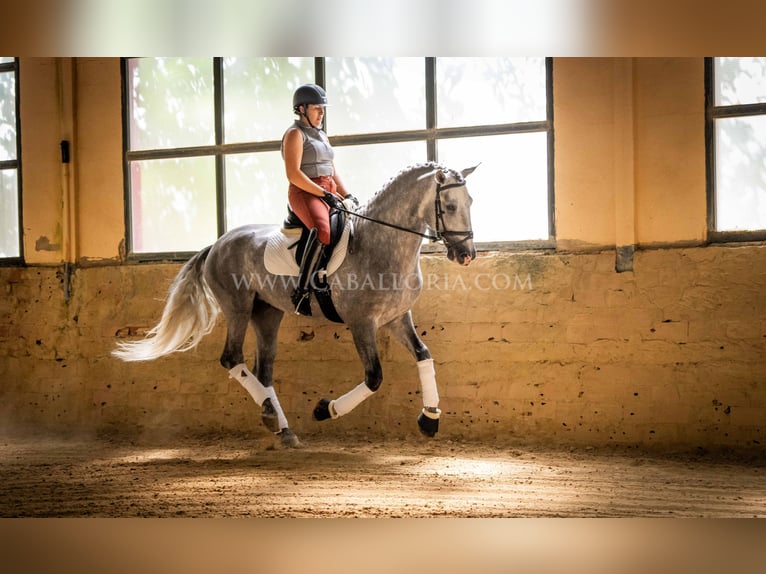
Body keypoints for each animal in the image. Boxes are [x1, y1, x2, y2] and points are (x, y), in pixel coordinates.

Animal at [113, 162, 476, 450]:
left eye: (470, 201)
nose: (466, 254)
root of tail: (216, 244)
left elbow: (424, 355)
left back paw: (281, 427)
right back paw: (272, 417)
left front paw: (429, 419)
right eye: (450, 205)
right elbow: (374, 378)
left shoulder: (396, 317)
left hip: (267, 313)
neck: (381, 245)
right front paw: (325, 409)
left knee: (263, 370)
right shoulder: (362, 323)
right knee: (232, 358)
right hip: (238, 307)